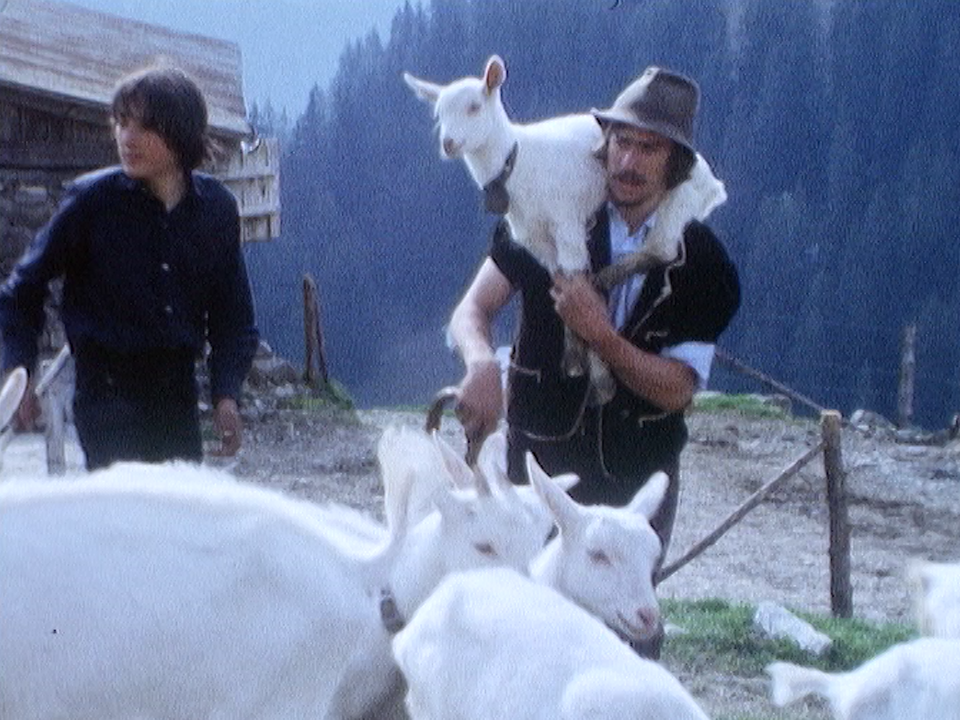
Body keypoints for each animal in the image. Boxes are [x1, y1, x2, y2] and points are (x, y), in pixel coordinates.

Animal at [404, 55, 728, 402]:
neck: (520, 163)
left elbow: (575, 280)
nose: (449, 143)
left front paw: (598, 376)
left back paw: (605, 277)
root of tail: (715, 186)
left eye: (474, 107)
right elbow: (561, 279)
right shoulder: (534, 237)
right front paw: (579, 361)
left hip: (679, 195)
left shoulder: (567, 220)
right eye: (438, 114)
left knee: (663, 246)